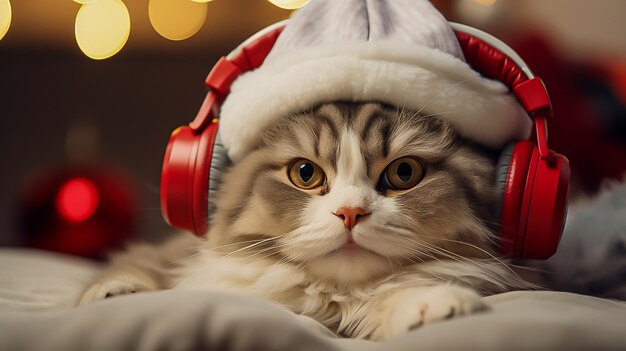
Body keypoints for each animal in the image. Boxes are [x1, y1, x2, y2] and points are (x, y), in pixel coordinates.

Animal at [77, 102, 528, 340]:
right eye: (306, 174)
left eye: (404, 173)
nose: (350, 213)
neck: (334, 302)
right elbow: (143, 268)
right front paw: (114, 293)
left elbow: (401, 295)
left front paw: (437, 305)